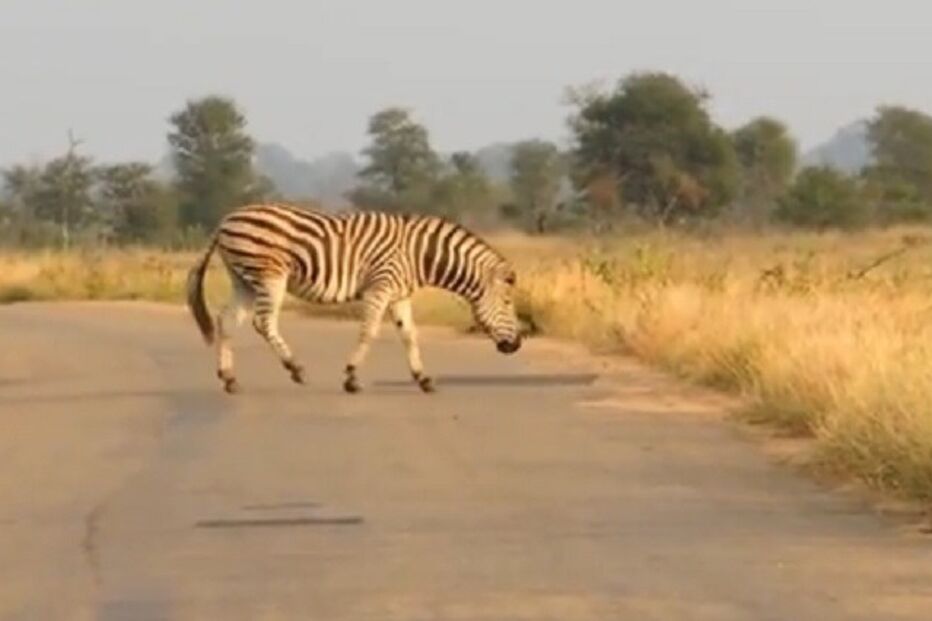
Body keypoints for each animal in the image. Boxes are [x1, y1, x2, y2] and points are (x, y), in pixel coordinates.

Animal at [185, 202, 523, 394]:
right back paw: (295, 369)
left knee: (226, 321)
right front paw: (351, 378)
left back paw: (229, 379)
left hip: (244, 280)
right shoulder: (380, 287)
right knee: (263, 322)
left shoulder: (399, 295)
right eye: (508, 303)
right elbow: (369, 331)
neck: (419, 256)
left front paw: (423, 379)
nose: (517, 345)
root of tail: (226, 219)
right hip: (269, 276)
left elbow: (409, 336)